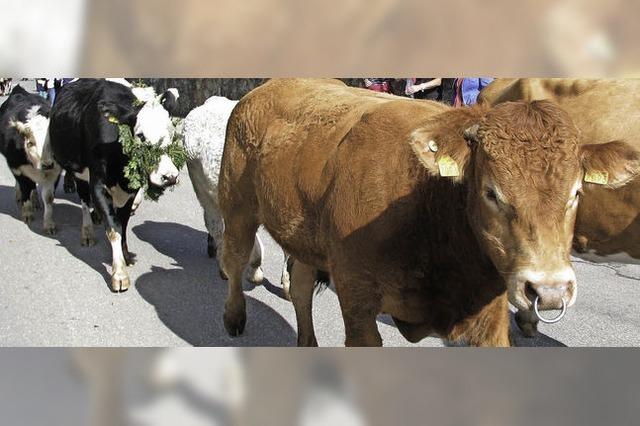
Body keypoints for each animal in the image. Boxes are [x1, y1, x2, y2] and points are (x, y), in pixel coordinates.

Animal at [0, 83, 60, 230]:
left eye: (53, 140)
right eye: (30, 143)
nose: (47, 164)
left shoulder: (55, 171)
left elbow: (48, 197)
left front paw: (49, 223)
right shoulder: (18, 168)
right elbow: (25, 188)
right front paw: (27, 214)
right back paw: (20, 196)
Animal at [49, 78, 180, 292]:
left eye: (172, 133)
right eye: (141, 136)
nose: (169, 176)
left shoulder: (130, 192)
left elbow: (123, 223)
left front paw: (126, 256)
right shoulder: (98, 185)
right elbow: (113, 228)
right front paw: (119, 273)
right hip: (79, 171)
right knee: (84, 201)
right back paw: (87, 232)